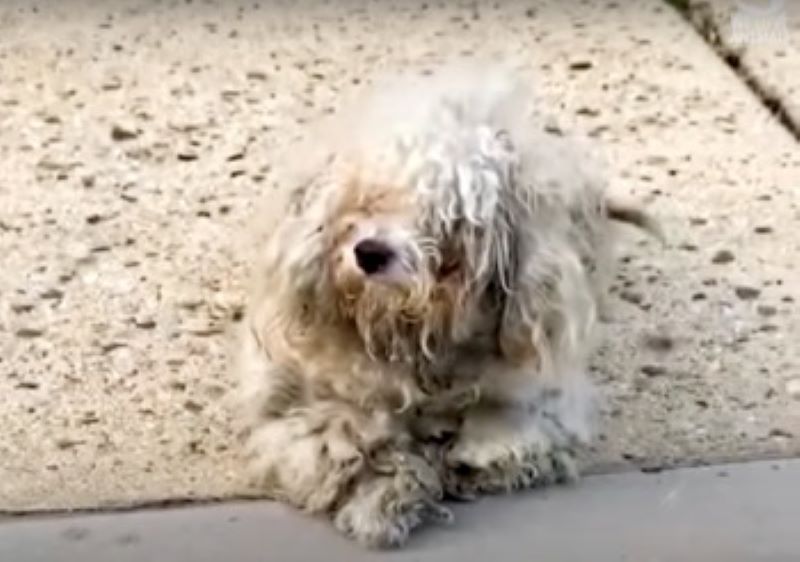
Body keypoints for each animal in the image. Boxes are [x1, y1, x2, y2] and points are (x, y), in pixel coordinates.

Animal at [234, 63, 652, 544]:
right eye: (370, 198)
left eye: (449, 221)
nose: (370, 252)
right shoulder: (293, 400)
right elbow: (349, 440)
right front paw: (385, 498)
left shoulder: (540, 387)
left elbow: (506, 430)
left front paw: (471, 458)